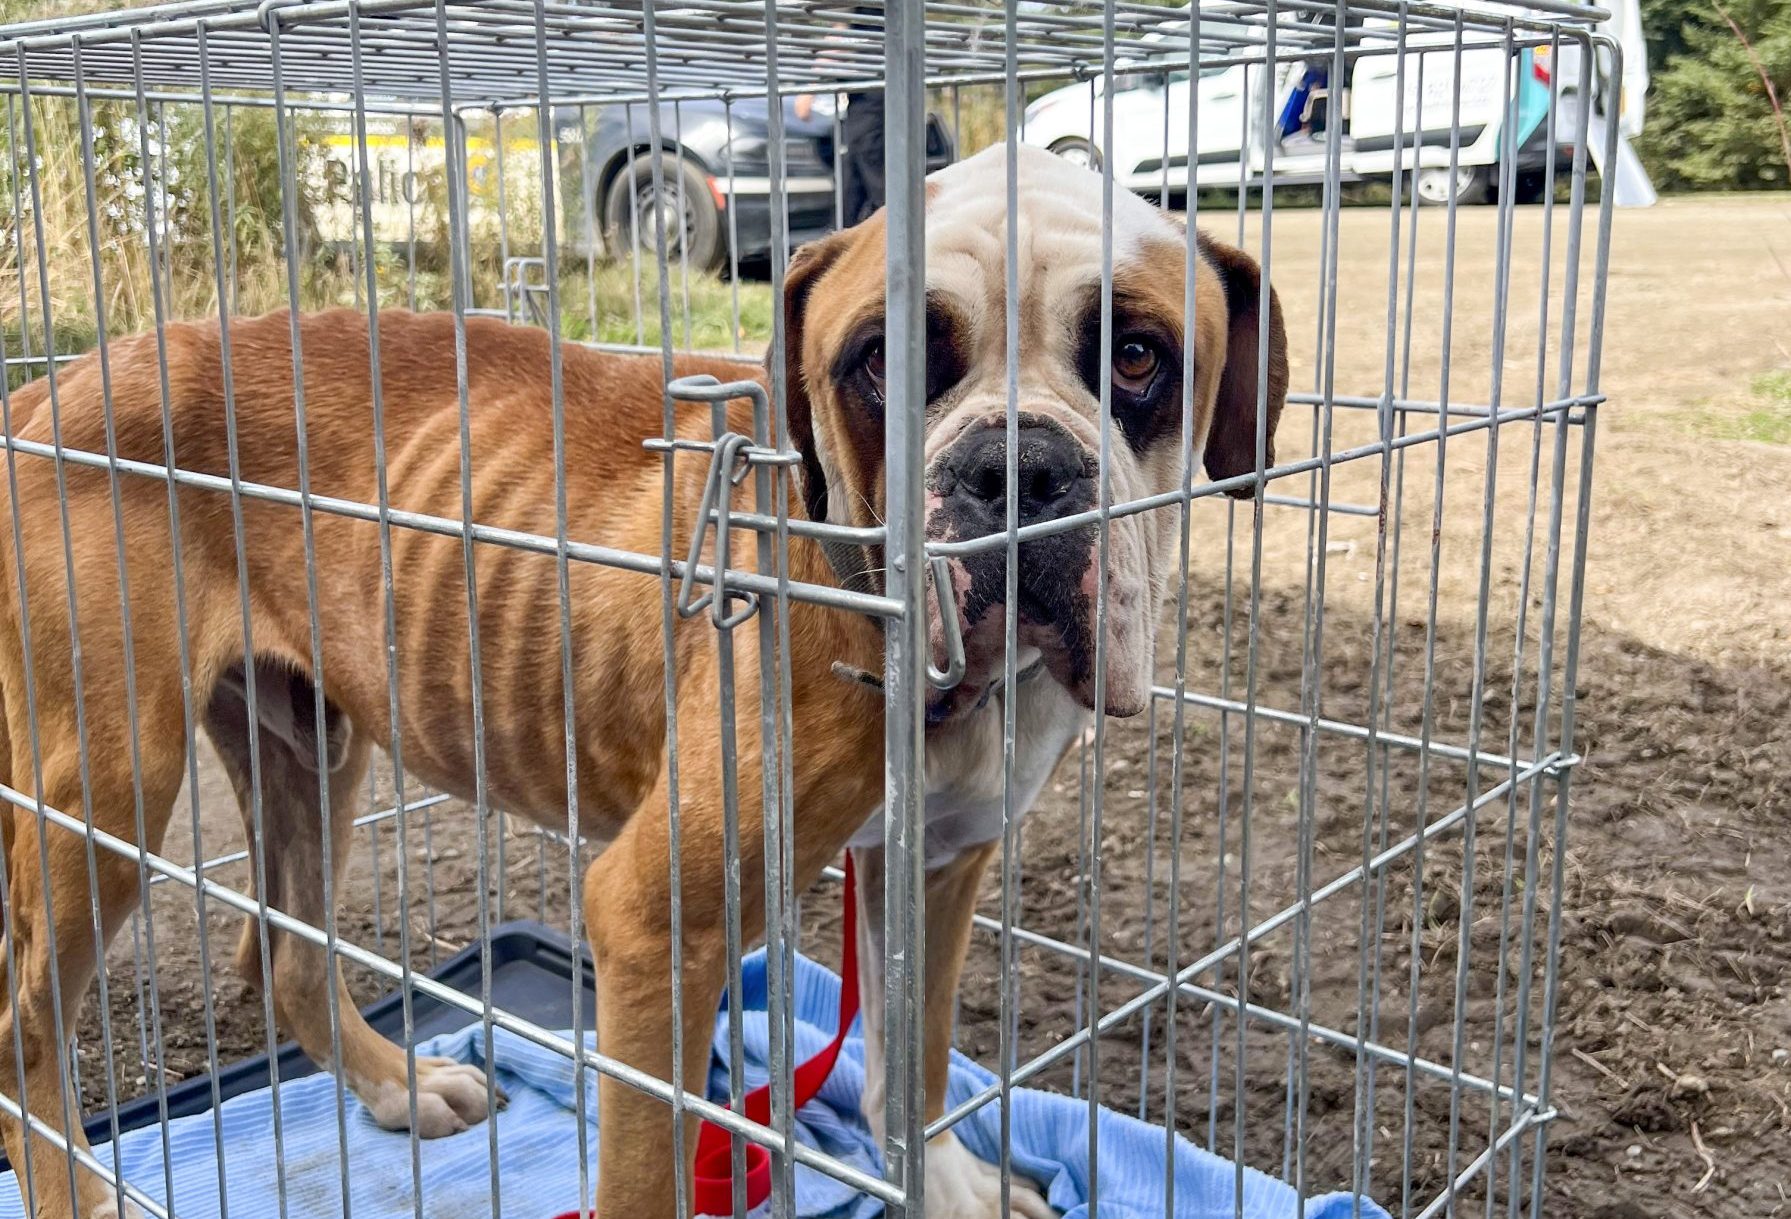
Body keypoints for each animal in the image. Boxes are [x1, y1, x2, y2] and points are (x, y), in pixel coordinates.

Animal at [0, 144, 1289, 1217]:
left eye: (1138, 358)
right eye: (878, 364)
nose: (1013, 469)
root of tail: (49, 387)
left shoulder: (931, 866)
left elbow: (911, 1073)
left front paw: (947, 1190)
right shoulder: (657, 927)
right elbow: (641, 1175)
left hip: (309, 749)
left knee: (291, 957)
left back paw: (398, 1085)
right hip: (107, 790)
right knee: (28, 1025)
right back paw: (77, 1191)